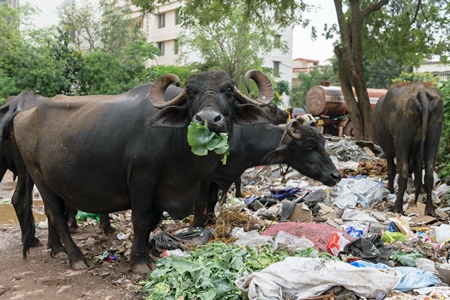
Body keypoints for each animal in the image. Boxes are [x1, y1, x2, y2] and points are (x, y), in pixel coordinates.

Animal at [14, 71, 272, 274]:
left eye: (228, 90)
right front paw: (139, 261)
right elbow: (141, 219)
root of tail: (24, 116)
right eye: (190, 92)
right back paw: (76, 257)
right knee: (56, 215)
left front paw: (147, 250)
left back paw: (56, 249)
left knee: (50, 214)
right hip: (39, 177)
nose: (208, 119)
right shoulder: (142, 180)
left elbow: (153, 221)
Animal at [192, 118, 342, 226]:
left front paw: (210, 222)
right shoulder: (205, 175)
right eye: (309, 145)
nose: (336, 176)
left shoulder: (216, 178)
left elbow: (212, 200)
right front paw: (197, 226)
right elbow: (201, 201)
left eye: (323, 144)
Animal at [372, 82, 442, 216]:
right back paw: (430, 209)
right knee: (429, 174)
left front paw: (390, 190)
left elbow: (391, 171)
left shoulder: (388, 151)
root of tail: (421, 91)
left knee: (403, 173)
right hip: (433, 141)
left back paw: (397, 207)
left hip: (401, 143)